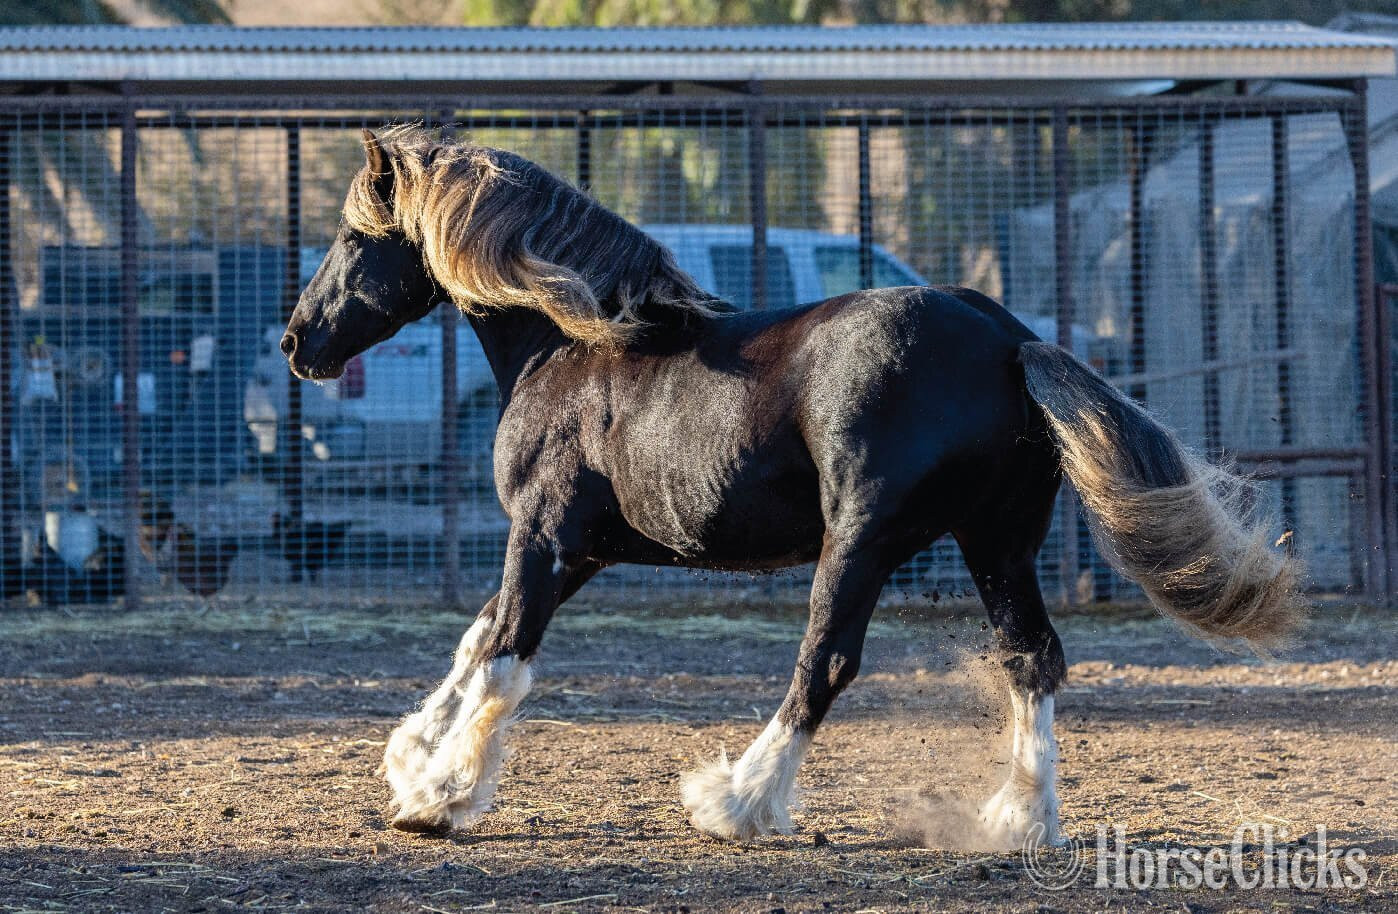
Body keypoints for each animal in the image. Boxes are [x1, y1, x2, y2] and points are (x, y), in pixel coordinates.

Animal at [281, 127, 1303, 847]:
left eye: (354, 236)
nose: (298, 343)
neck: (568, 343)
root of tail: (1010, 340)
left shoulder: (543, 534)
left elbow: (503, 654)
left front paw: (440, 797)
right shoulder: (581, 552)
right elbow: (478, 637)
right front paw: (413, 761)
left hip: (864, 540)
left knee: (826, 662)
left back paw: (735, 800)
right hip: (995, 543)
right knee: (1032, 658)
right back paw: (1019, 821)